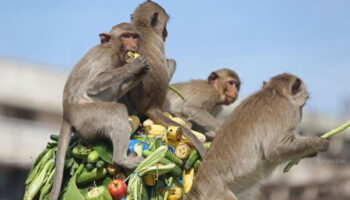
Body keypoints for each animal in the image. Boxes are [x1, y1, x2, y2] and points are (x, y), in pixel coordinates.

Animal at [49, 23, 148, 200]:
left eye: (135, 36)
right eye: (126, 36)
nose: (134, 44)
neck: (112, 48)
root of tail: (67, 115)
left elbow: (114, 94)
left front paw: (141, 72)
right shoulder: (107, 59)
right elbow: (93, 86)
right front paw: (134, 66)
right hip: (87, 116)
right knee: (116, 110)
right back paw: (121, 160)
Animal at [185, 73, 330, 200]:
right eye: (303, 105)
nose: (302, 110)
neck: (275, 92)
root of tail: (197, 188)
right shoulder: (289, 112)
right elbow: (274, 150)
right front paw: (318, 144)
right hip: (219, 195)